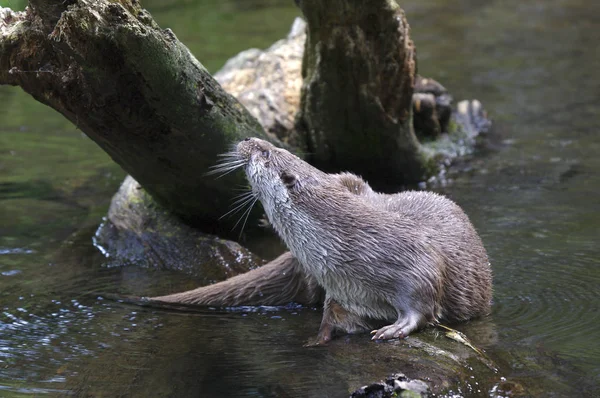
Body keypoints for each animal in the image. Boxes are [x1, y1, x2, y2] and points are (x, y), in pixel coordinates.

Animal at [154, 138, 492, 344]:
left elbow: (424, 303)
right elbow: (333, 317)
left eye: (266, 152)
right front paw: (318, 339)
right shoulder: (341, 291)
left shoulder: (416, 260)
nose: (249, 139)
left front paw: (396, 328)